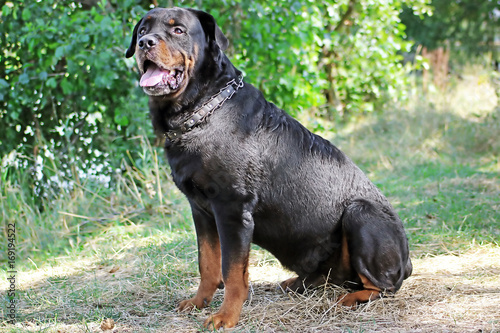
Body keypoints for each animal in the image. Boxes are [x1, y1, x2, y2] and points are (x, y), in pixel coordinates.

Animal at [127, 6, 412, 328]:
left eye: (178, 30)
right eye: (142, 30)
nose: (145, 42)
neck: (204, 111)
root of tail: (408, 262)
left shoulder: (233, 208)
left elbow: (232, 271)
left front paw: (226, 316)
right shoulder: (200, 210)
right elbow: (207, 263)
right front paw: (199, 302)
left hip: (360, 213)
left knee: (383, 286)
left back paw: (352, 298)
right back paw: (298, 283)